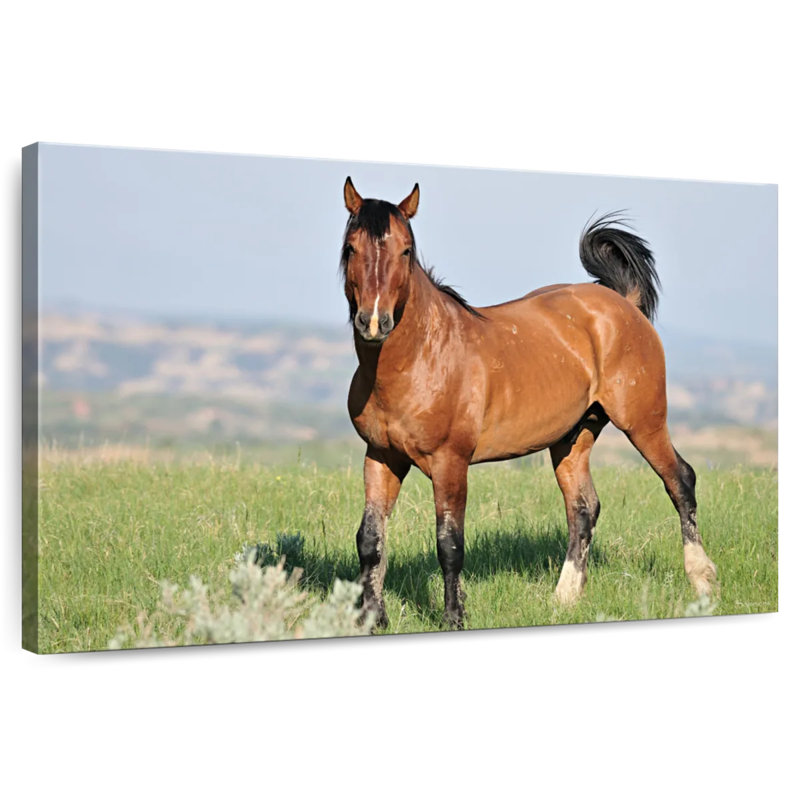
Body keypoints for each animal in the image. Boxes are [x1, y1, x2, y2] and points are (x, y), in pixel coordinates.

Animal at [340, 176, 717, 630]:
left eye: (406, 250)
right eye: (351, 247)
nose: (374, 322)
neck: (422, 357)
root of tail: (624, 305)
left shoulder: (450, 463)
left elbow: (449, 543)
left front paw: (453, 617)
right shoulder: (382, 456)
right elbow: (370, 539)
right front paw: (371, 617)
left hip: (644, 422)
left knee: (680, 481)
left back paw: (702, 582)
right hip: (574, 437)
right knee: (583, 508)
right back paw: (564, 598)